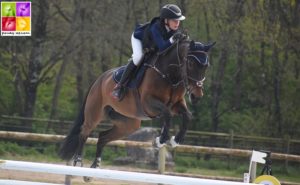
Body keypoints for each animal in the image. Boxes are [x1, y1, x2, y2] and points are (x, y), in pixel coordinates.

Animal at [59, 35, 211, 180]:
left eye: (206, 66)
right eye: (190, 63)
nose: (197, 96)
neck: (170, 75)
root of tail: (99, 79)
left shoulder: (176, 104)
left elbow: (187, 116)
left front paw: (175, 140)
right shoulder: (149, 103)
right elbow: (167, 114)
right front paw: (160, 140)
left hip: (128, 124)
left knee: (102, 137)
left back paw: (93, 170)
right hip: (95, 113)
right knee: (84, 132)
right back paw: (78, 162)